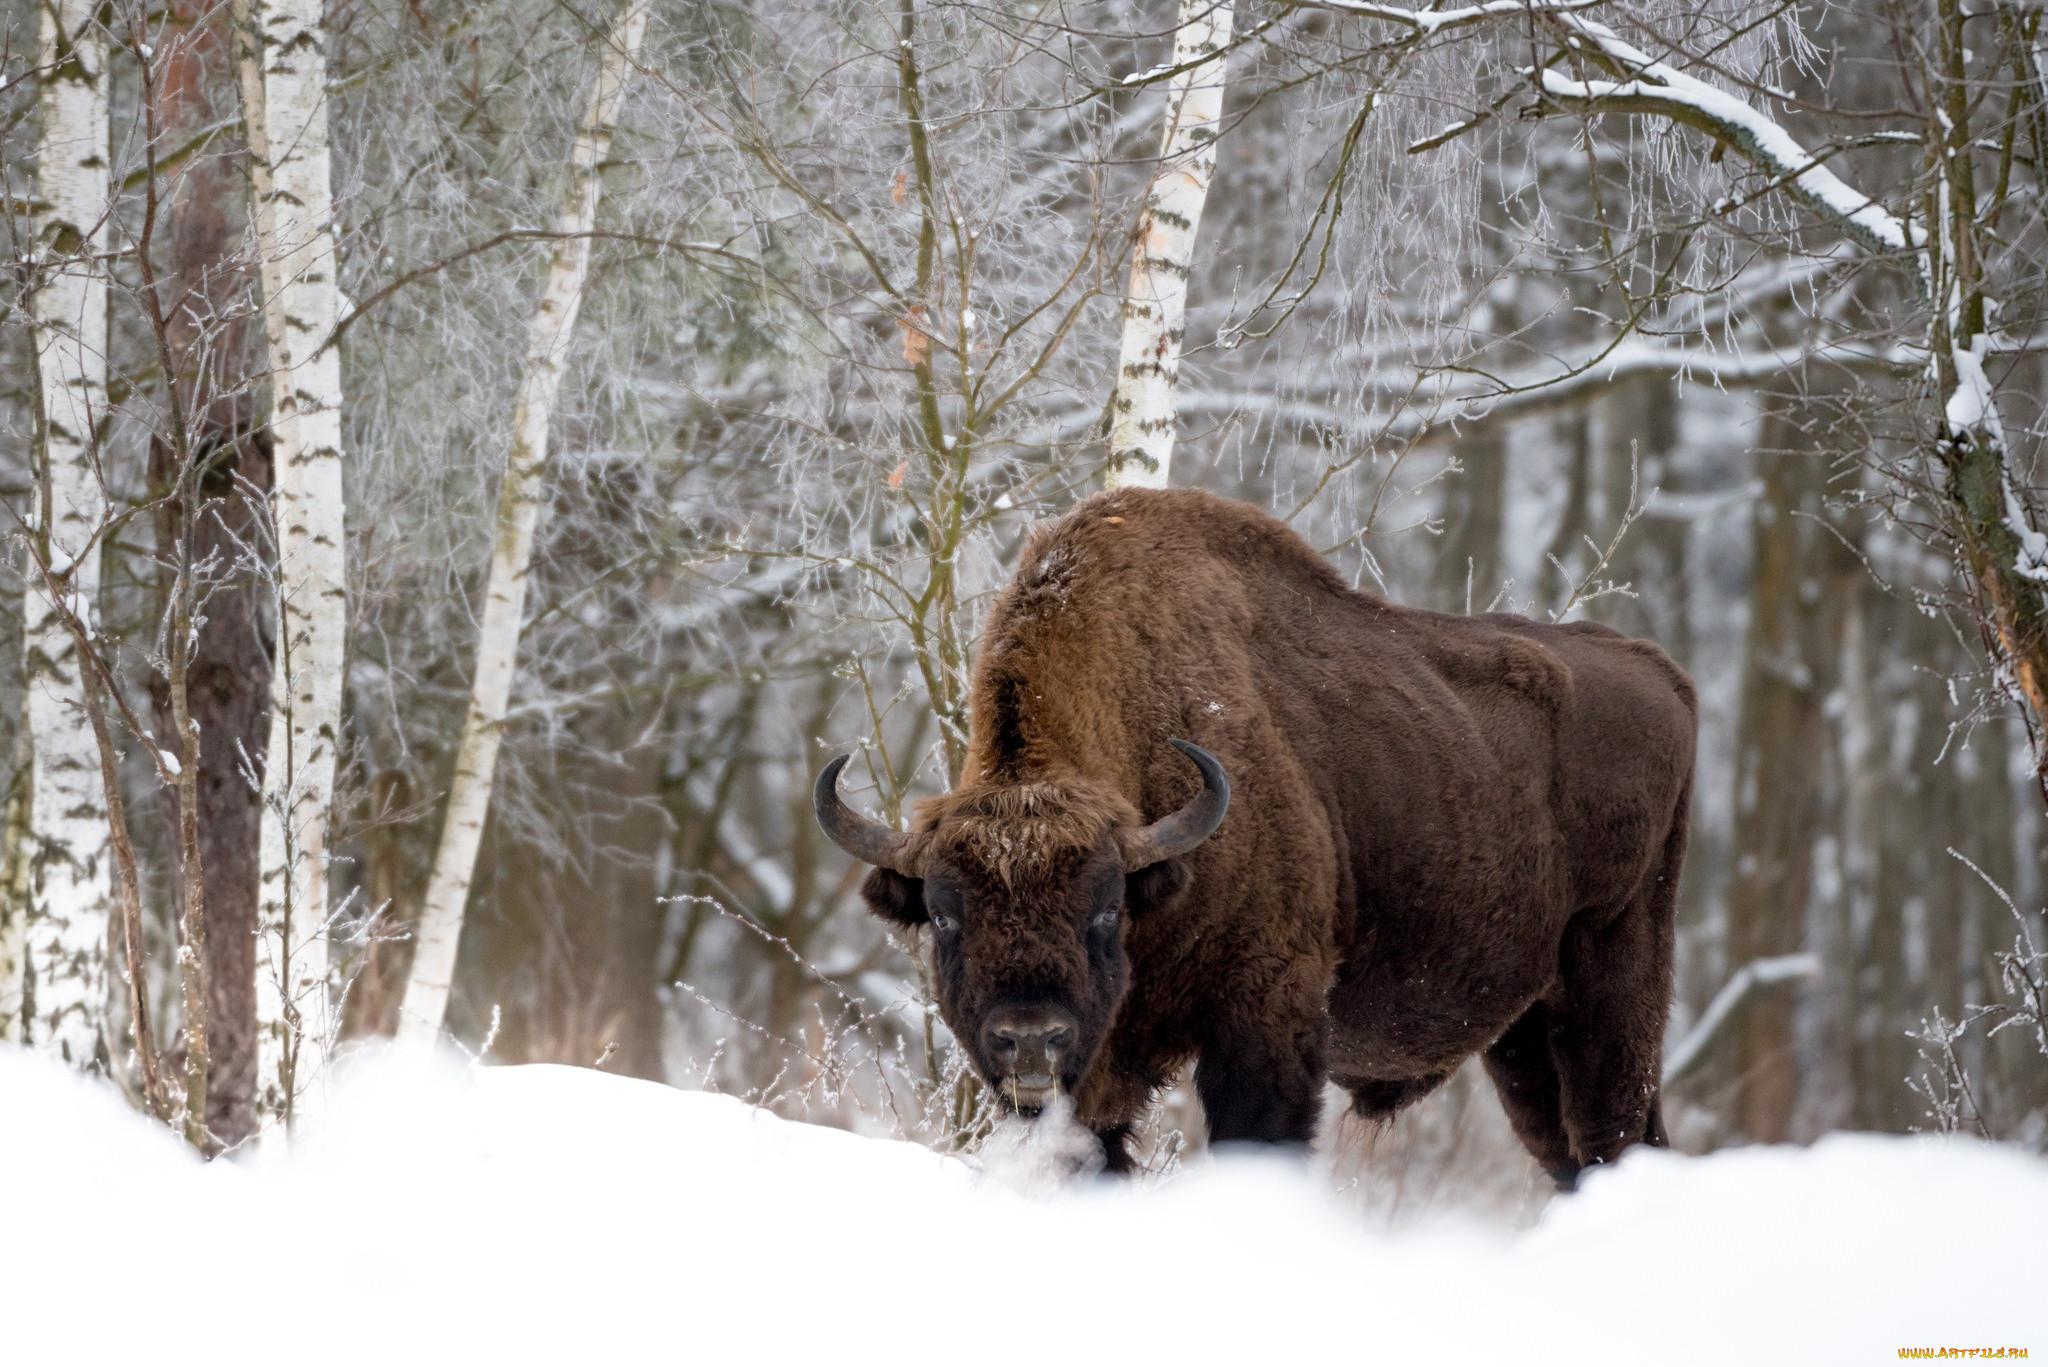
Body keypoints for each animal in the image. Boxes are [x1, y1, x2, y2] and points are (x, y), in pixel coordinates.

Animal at [815, 485, 1695, 1180]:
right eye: (945, 915)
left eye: (1104, 910)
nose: (1031, 1042)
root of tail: (1664, 673)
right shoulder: (1102, 1082)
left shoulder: (1265, 1017)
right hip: (1523, 1035)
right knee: (1568, 1150)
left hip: (1615, 989)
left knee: (1616, 1134)